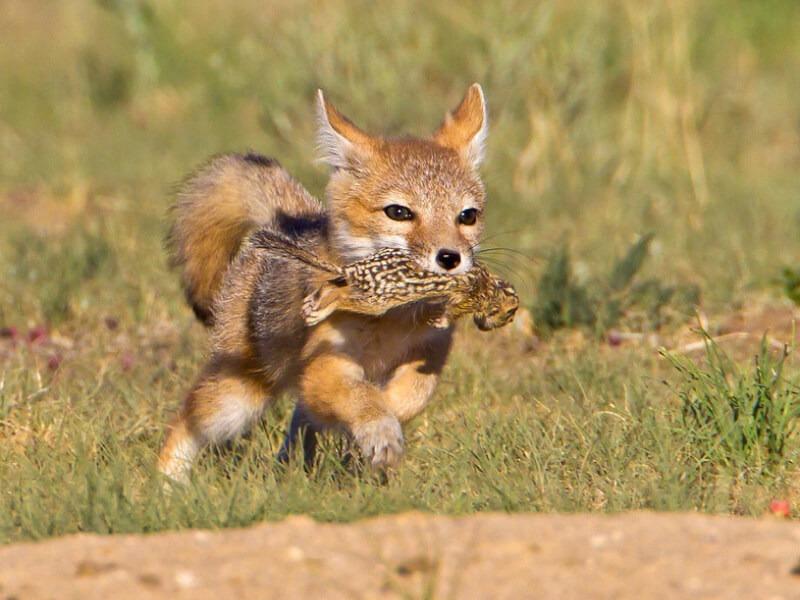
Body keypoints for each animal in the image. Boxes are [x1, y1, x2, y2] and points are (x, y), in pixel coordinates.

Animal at [158, 84, 490, 482]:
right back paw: (166, 486)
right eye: (399, 212)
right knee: (184, 423)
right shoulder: (326, 366)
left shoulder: (429, 354)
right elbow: (362, 399)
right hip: (235, 401)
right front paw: (378, 429)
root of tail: (290, 221)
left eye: (467, 216)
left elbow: (409, 397)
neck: (389, 324)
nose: (450, 258)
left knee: (303, 416)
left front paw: (377, 433)